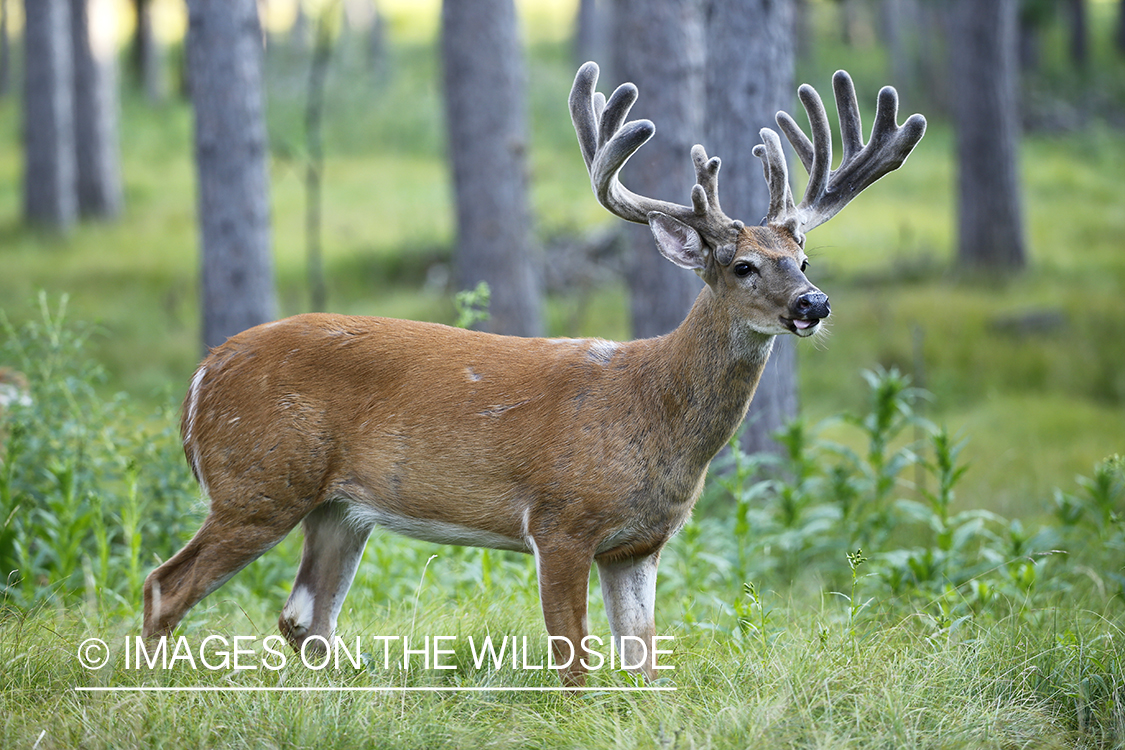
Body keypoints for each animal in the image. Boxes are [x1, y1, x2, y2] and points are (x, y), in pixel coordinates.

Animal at [145, 62, 927, 688]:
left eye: (803, 259)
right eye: (742, 266)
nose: (813, 304)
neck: (653, 412)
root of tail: (199, 378)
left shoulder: (640, 544)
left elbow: (643, 661)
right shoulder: (560, 519)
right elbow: (573, 659)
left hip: (337, 507)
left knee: (304, 615)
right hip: (257, 482)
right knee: (165, 584)